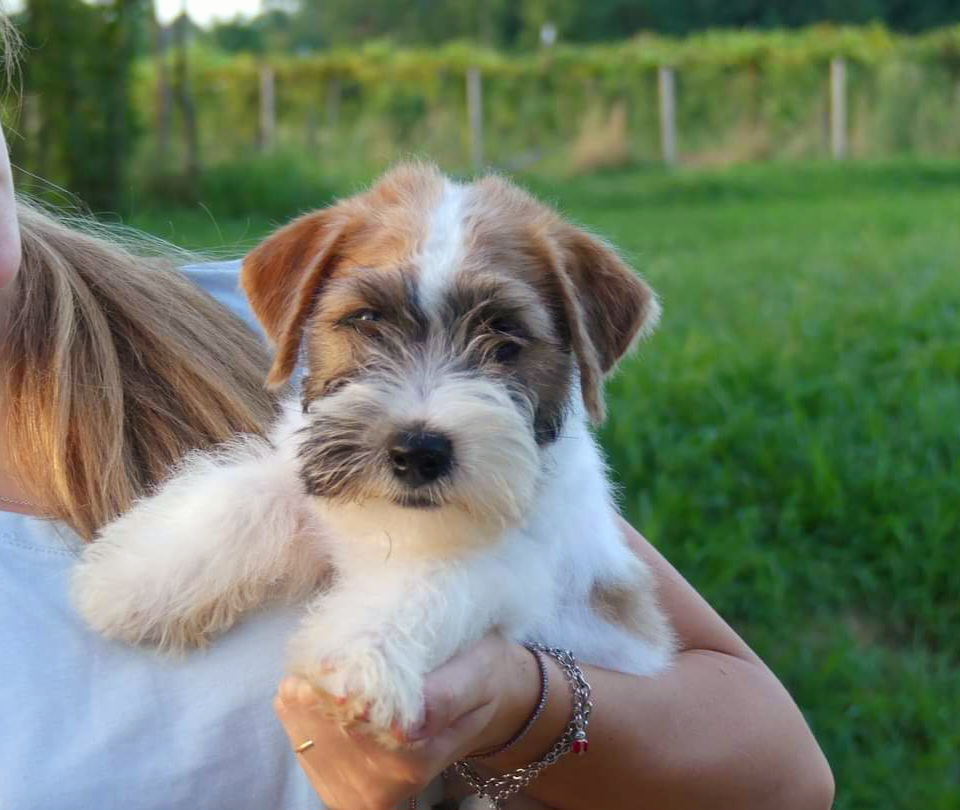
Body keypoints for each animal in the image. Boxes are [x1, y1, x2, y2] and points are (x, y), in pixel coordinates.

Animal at [75, 164, 676, 744]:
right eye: (366, 319)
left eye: (505, 334)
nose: (418, 451)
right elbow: (252, 495)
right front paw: (138, 578)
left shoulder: (526, 565)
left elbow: (436, 576)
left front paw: (359, 655)